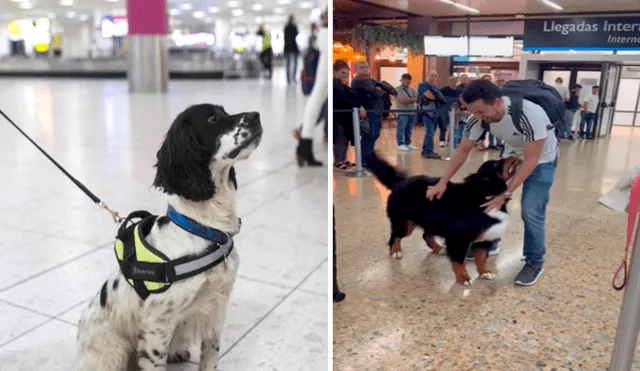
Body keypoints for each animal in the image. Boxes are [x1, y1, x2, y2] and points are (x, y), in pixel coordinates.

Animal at [364, 153, 520, 286]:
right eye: (496, 163)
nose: (514, 154)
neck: (483, 196)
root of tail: (401, 181)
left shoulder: (485, 238)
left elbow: (481, 258)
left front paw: (485, 272)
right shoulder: (458, 239)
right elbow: (458, 261)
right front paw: (464, 278)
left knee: (426, 236)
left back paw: (439, 249)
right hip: (404, 223)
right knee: (395, 236)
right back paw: (396, 251)